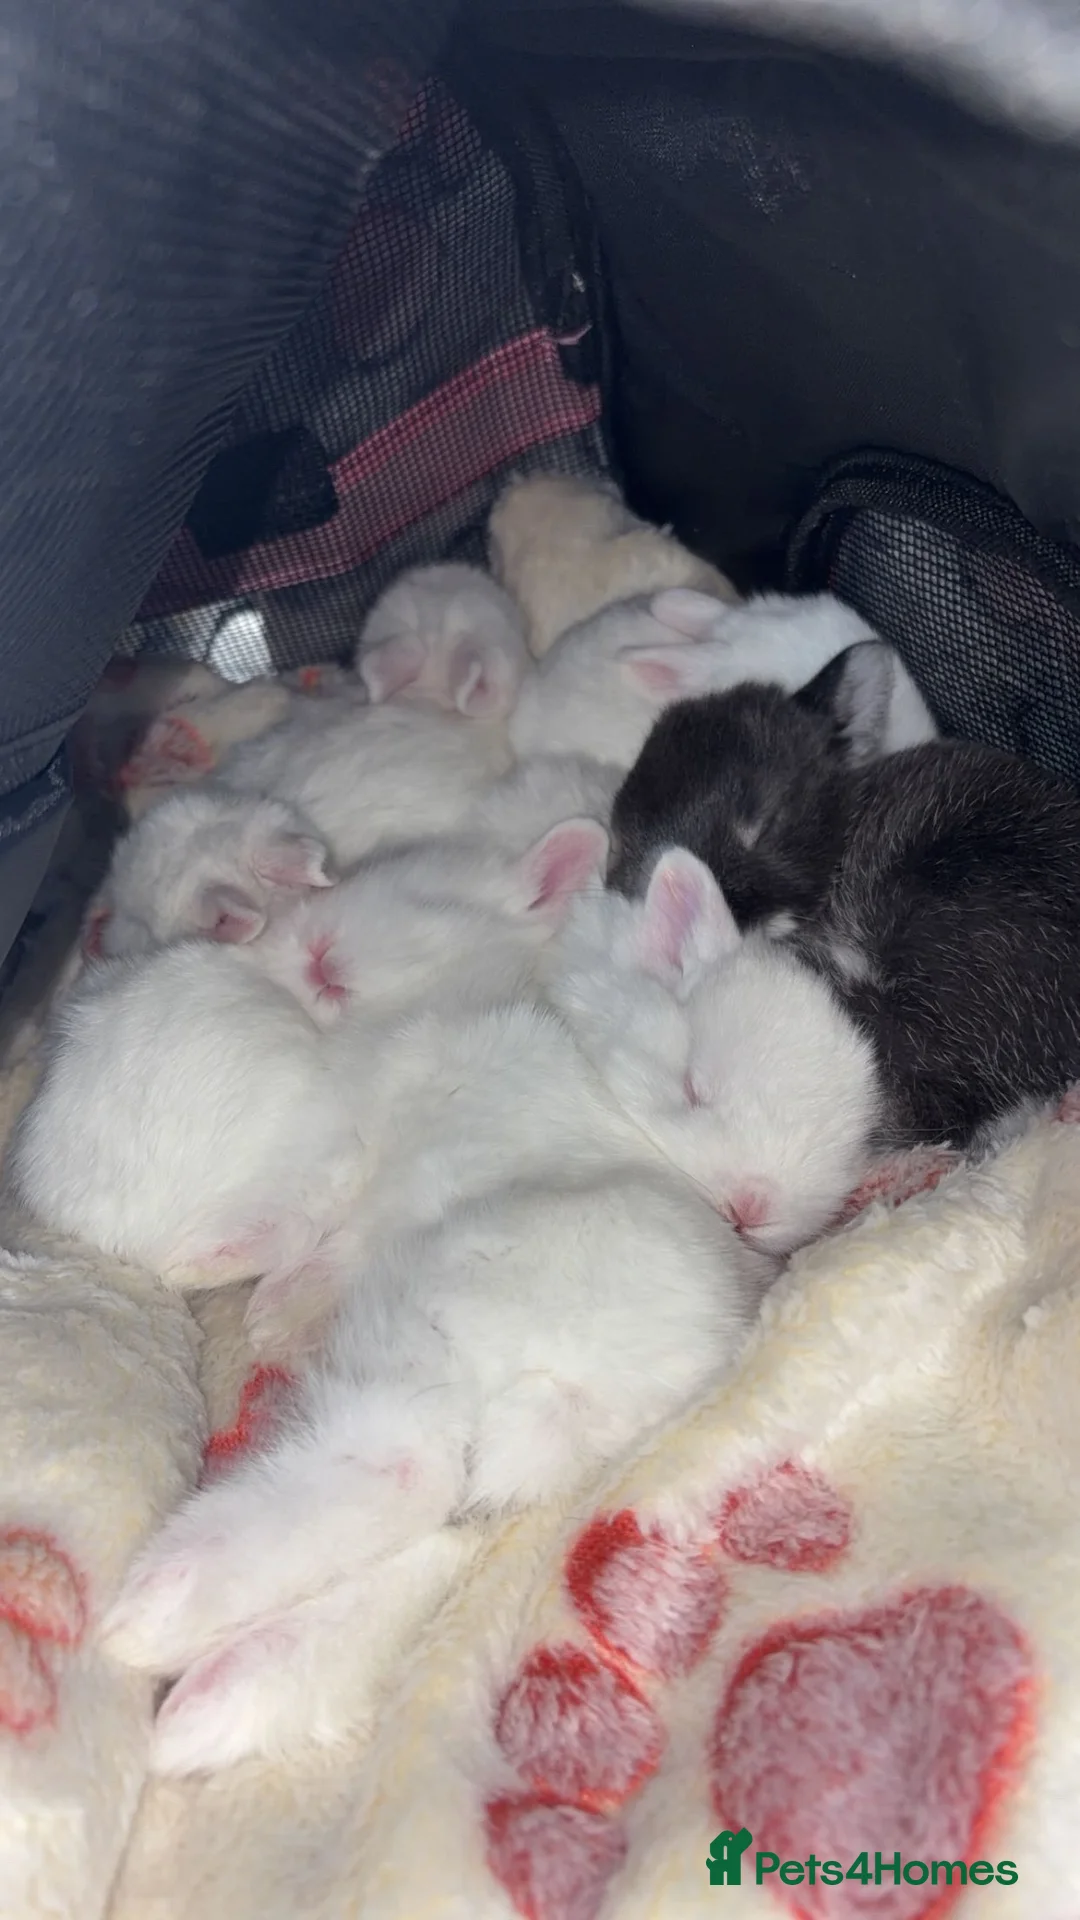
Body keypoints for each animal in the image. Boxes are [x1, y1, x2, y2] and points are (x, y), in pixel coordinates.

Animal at [101, 984, 771, 1773]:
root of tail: (584, 1381)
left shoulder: (339, 1157)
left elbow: (300, 1211)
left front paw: (217, 1276)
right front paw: (275, 1316)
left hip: (425, 1329)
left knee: (403, 1473)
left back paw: (152, 1613)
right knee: (437, 1542)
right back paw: (209, 1702)